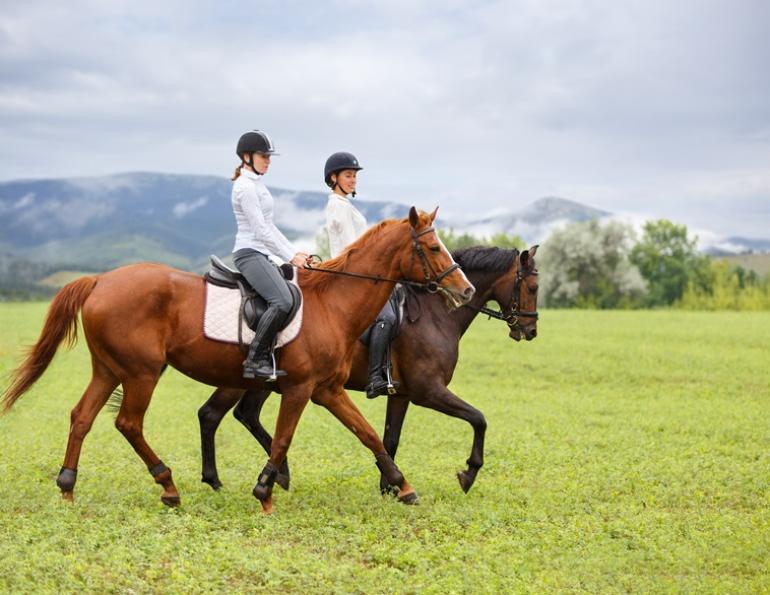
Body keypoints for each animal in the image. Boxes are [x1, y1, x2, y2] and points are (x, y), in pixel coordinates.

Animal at [1, 207, 475, 513]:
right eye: (433, 247)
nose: (466, 290)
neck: (333, 304)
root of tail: (100, 280)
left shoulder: (328, 389)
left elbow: (370, 434)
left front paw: (403, 486)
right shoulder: (301, 389)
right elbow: (284, 439)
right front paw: (265, 490)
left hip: (109, 369)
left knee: (82, 417)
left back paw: (68, 486)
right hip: (141, 372)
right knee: (129, 423)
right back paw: (168, 484)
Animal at [196, 244, 539, 496]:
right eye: (534, 287)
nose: (531, 329)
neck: (435, 314)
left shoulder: (401, 395)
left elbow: (390, 438)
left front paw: (389, 485)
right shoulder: (428, 391)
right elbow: (478, 418)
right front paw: (468, 473)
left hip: (267, 382)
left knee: (241, 414)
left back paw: (271, 474)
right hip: (246, 378)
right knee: (214, 414)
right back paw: (226, 478)